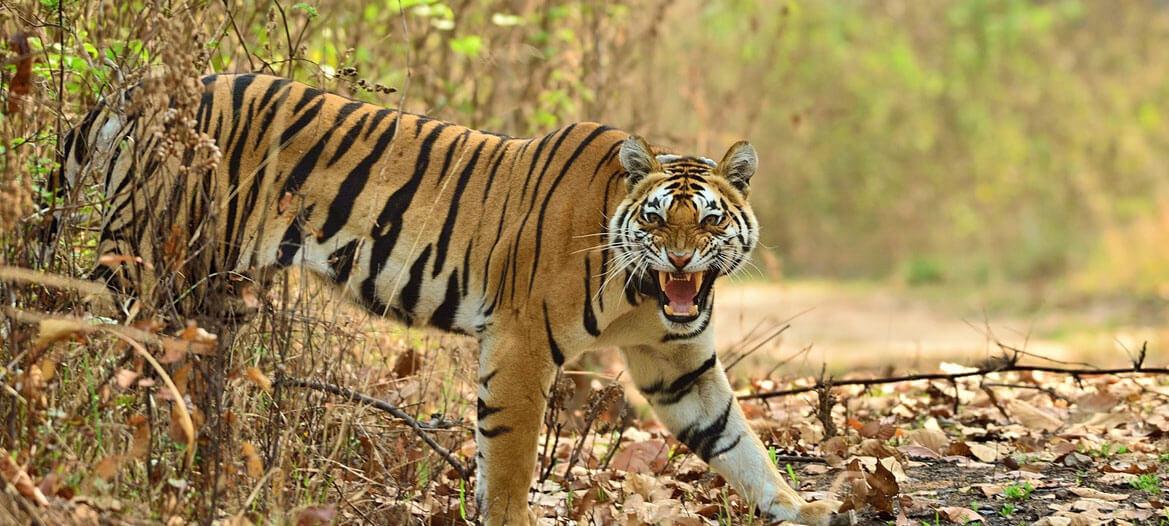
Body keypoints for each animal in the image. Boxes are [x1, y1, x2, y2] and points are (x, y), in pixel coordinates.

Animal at [47, 73, 844, 526]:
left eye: (707, 220)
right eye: (654, 219)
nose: (680, 258)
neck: (642, 292)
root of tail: (145, 88)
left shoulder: (679, 363)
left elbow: (737, 443)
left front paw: (799, 507)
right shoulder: (522, 342)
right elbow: (511, 458)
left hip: (211, 294)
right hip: (146, 263)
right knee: (90, 342)